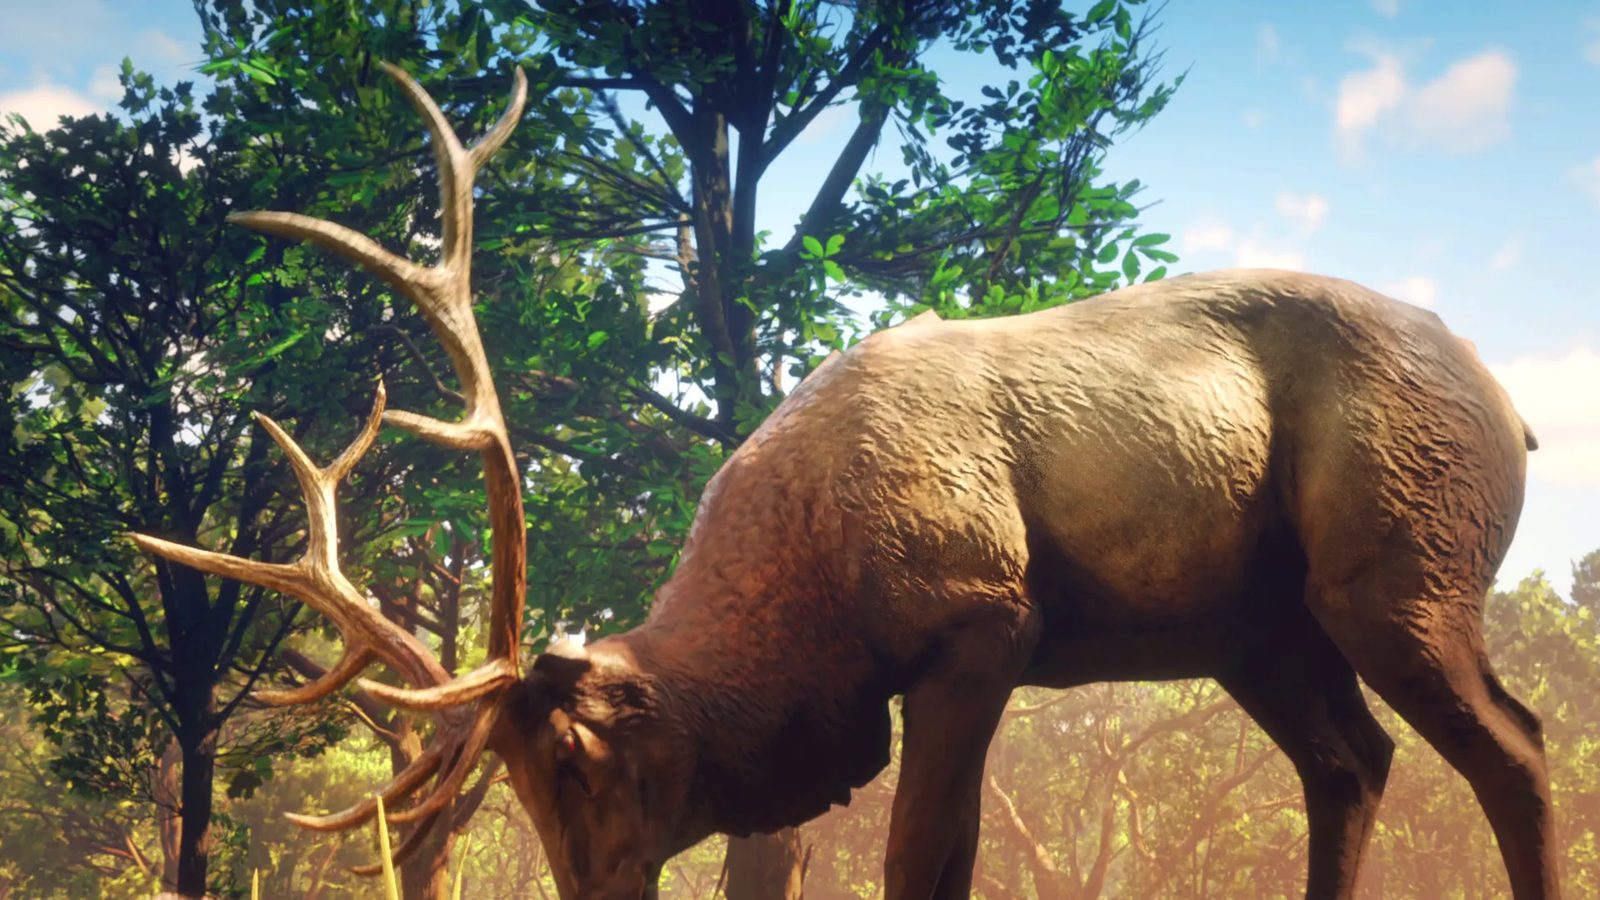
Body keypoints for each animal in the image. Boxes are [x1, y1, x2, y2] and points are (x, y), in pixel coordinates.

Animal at [131, 64, 1559, 900]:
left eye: (584, 759)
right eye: (523, 789)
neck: (805, 603)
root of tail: (1511, 406)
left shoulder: (980, 623)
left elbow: (926, 859)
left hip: (1398, 570)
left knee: (1515, 746)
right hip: (1254, 631)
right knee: (1351, 764)